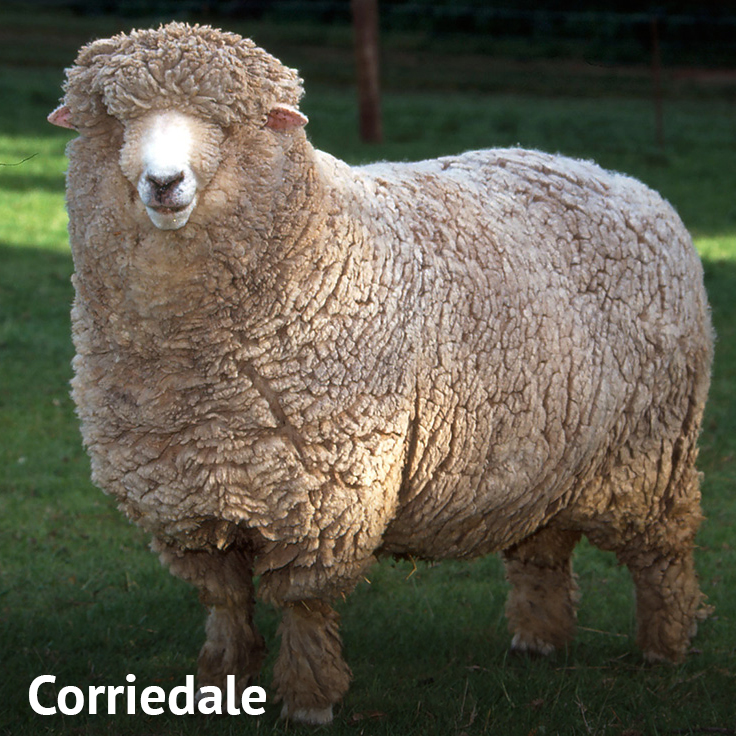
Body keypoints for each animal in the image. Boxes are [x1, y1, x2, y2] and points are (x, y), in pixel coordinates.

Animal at [49, 22, 714, 725]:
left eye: (230, 124)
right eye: (113, 120)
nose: (164, 182)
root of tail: (620, 180)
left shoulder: (323, 493)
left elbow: (303, 605)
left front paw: (309, 700)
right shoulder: (187, 495)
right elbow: (224, 603)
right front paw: (220, 683)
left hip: (651, 450)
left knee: (663, 553)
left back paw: (665, 647)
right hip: (550, 450)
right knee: (544, 545)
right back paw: (539, 639)